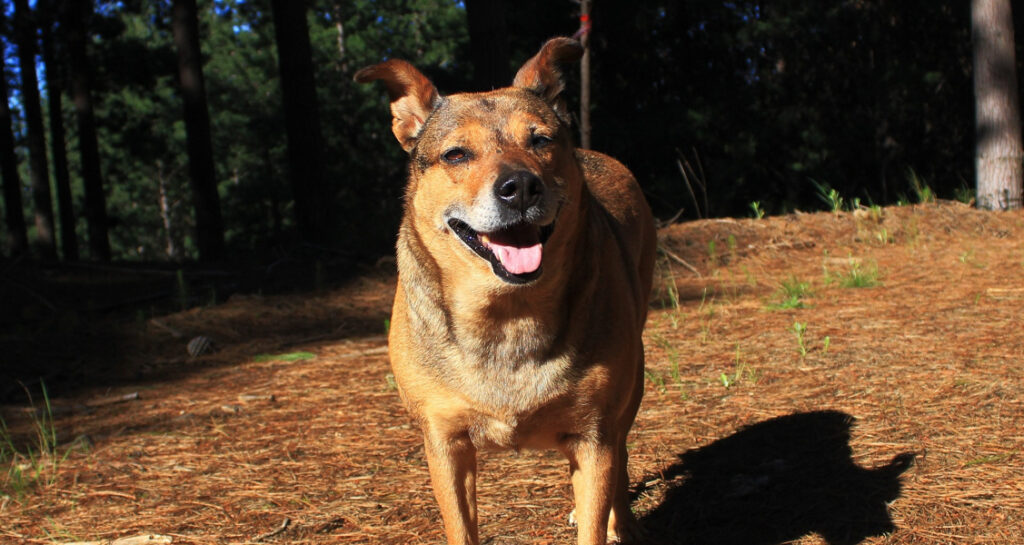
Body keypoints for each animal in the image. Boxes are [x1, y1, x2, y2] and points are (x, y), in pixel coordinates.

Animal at [352, 38, 655, 545]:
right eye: (456, 154)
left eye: (541, 141)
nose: (521, 187)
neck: (507, 314)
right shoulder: (445, 443)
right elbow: (460, 525)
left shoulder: (594, 434)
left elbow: (597, 501)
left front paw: (607, 519)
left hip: (630, 386)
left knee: (622, 451)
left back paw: (621, 519)